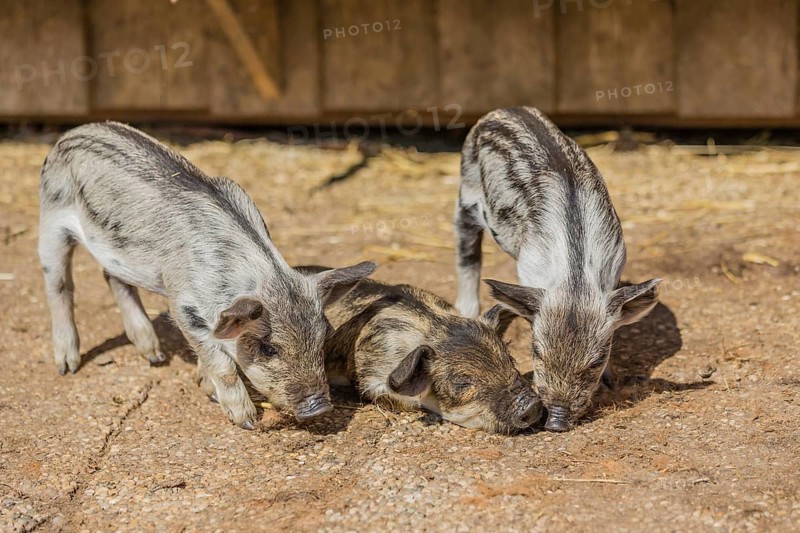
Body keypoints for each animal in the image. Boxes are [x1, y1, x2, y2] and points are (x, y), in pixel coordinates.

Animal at [38, 121, 376, 428]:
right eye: (268, 348)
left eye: (323, 337)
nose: (319, 408)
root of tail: (72, 132)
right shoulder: (181, 304)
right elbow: (222, 363)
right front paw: (246, 421)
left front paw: (205, 388)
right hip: (51, 222)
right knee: (58, 285)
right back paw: (67, 367)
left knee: (113, 278)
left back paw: (155, 357)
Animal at [454, 107, 661, 431]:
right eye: (536, 351)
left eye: (596, 361)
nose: (556, 422)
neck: (574, 277)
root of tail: (504, 110)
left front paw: (612, 381)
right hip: (466, 193)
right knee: (467, 253)